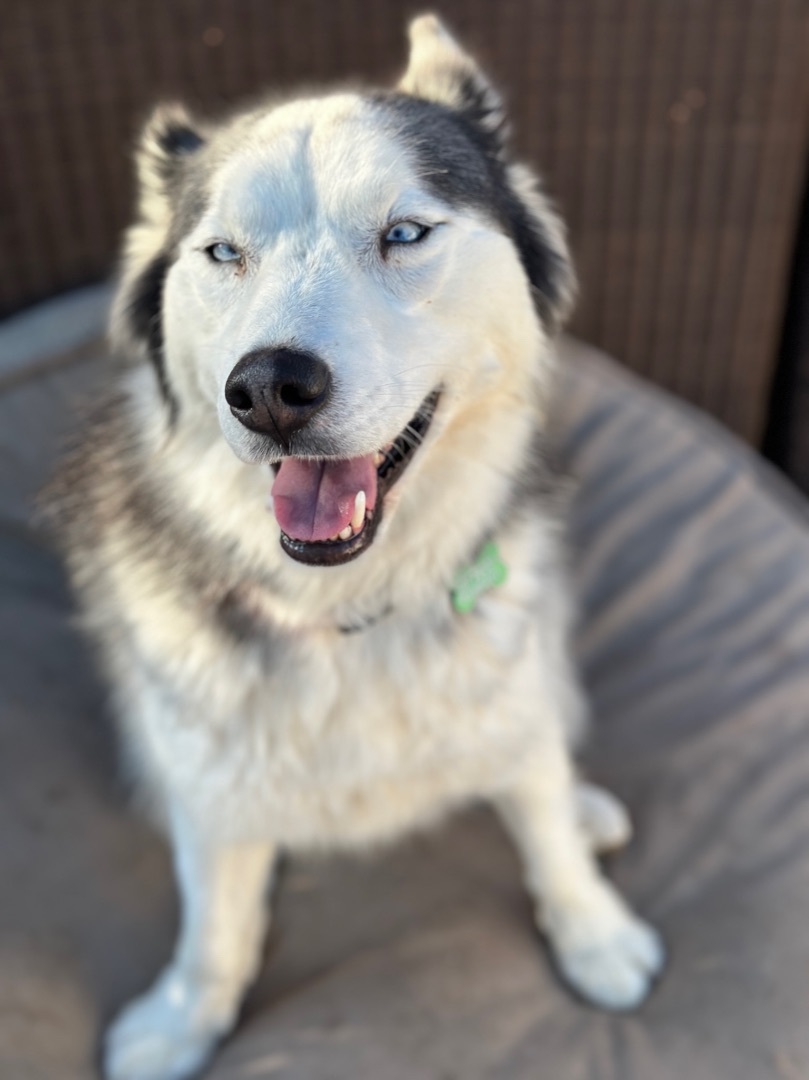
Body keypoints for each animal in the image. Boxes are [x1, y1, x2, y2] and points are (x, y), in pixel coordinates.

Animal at [53, 16, 665, 1080]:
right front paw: (184, 1016)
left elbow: (542, 818)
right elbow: (215, 920)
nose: (267, 388)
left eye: (405, 233)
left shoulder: (510, 683)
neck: (348, 607)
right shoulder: (208, 781)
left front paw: (592, 931)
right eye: (223, 252)